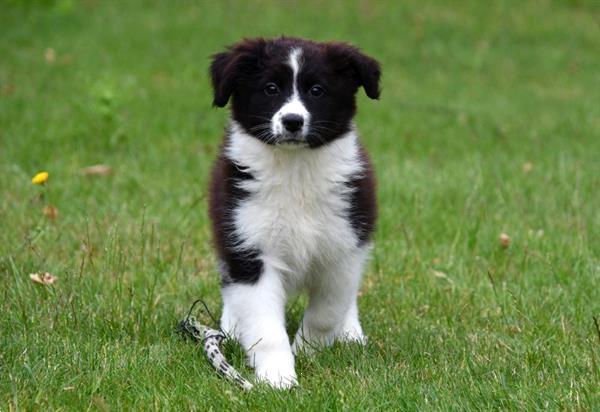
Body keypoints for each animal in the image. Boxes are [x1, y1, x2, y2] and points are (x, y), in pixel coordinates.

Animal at [209, 37, 382, 388]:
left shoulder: (343, 248)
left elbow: (327, 312)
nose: (292, 122)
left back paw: (351, 333)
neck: (295, 171)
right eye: (270, 88)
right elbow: (264, 325)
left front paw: (308, 351)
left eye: (317, 90)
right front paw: (278, 378)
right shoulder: (248, 247)